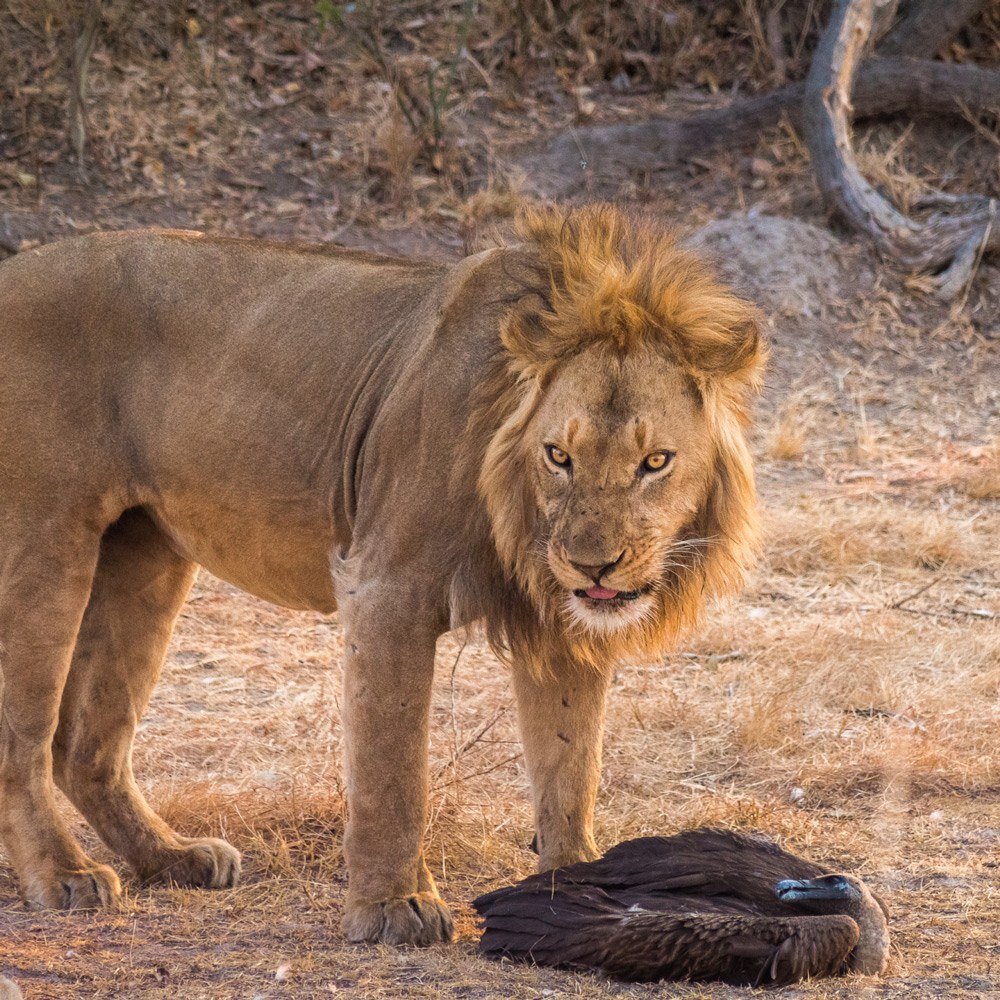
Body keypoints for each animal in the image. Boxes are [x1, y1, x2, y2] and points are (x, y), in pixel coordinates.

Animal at [0, 204, 764, 945]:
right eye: (558, 456)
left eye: (655, 462)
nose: (591, 564)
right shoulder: (386, 585)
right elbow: (393, 769)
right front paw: (395, 906)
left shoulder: (560, 622)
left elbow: (570, 764)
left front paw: (574, 888)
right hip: (43, 541)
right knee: (24, 737)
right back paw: (66, 876)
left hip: (147, 553)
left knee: (85, 741)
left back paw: (173, 858)